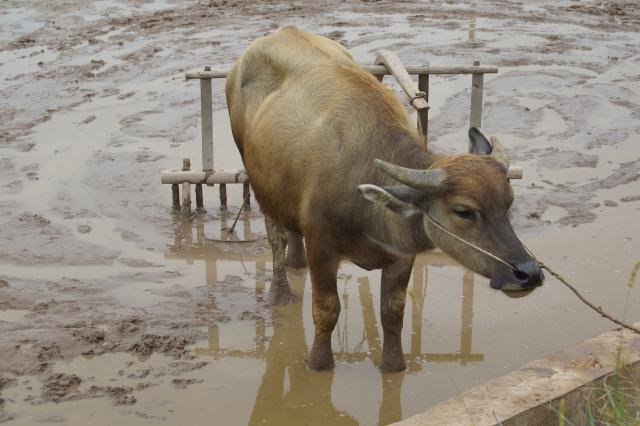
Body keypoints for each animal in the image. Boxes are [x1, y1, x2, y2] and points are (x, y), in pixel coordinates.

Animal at [228, 27, 544, 372]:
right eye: (463, 211)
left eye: (509, 203)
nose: (529, 273)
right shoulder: (322, 245)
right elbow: (327, 310)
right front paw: (319, 363)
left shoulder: (401, 254)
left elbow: (393, 312)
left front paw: (394, 366)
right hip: (258, 181)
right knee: (276, 239)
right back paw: (280, 293)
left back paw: (297, 262)